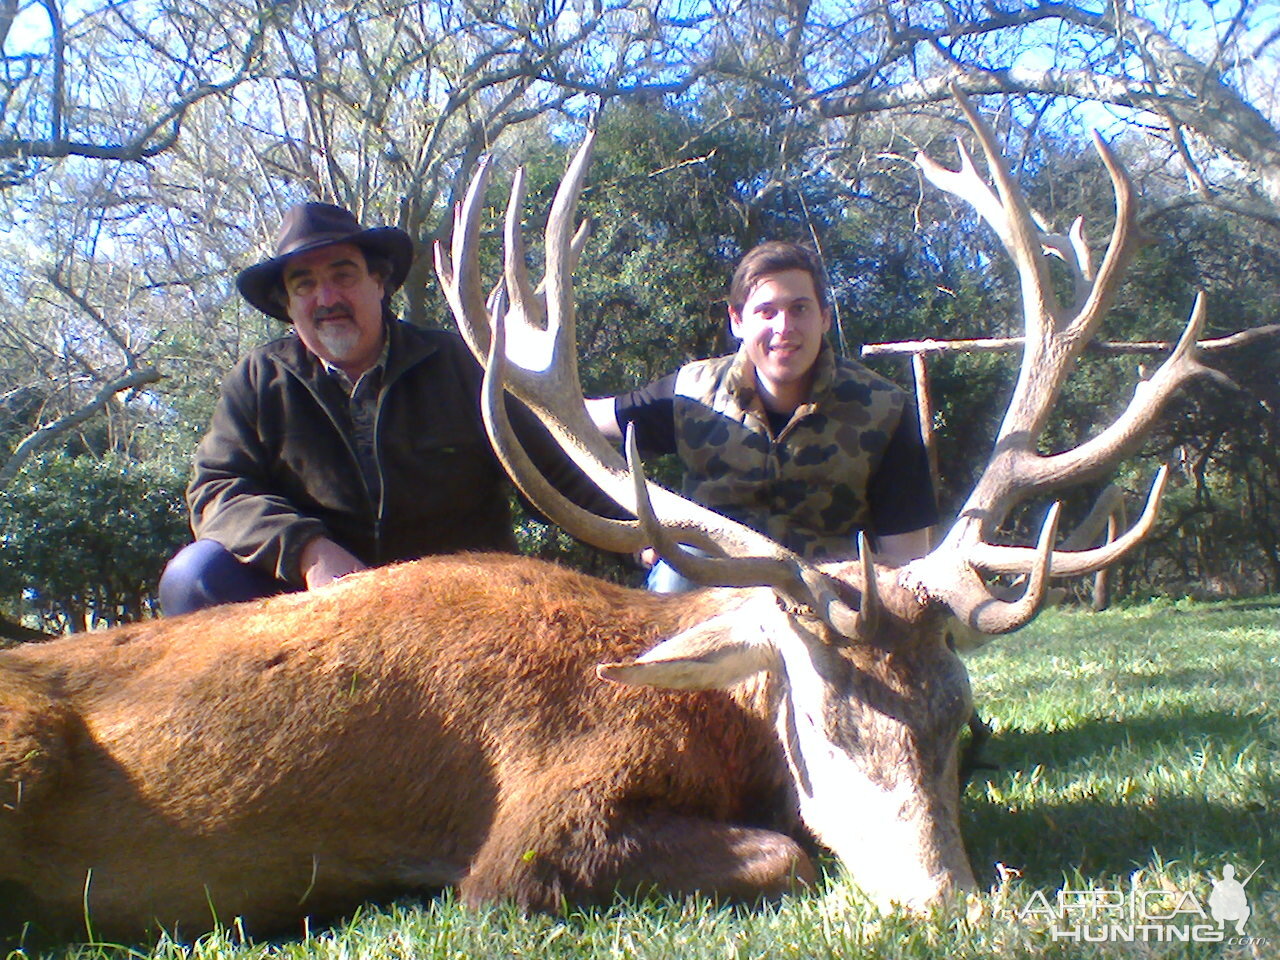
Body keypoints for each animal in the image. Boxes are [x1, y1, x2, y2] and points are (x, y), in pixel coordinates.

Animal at [0, 94, 1218, 942]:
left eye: (956, 722)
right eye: (823, 720)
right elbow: (782, 854)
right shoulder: (532, 832)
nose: (947, 901)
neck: (700, 710)